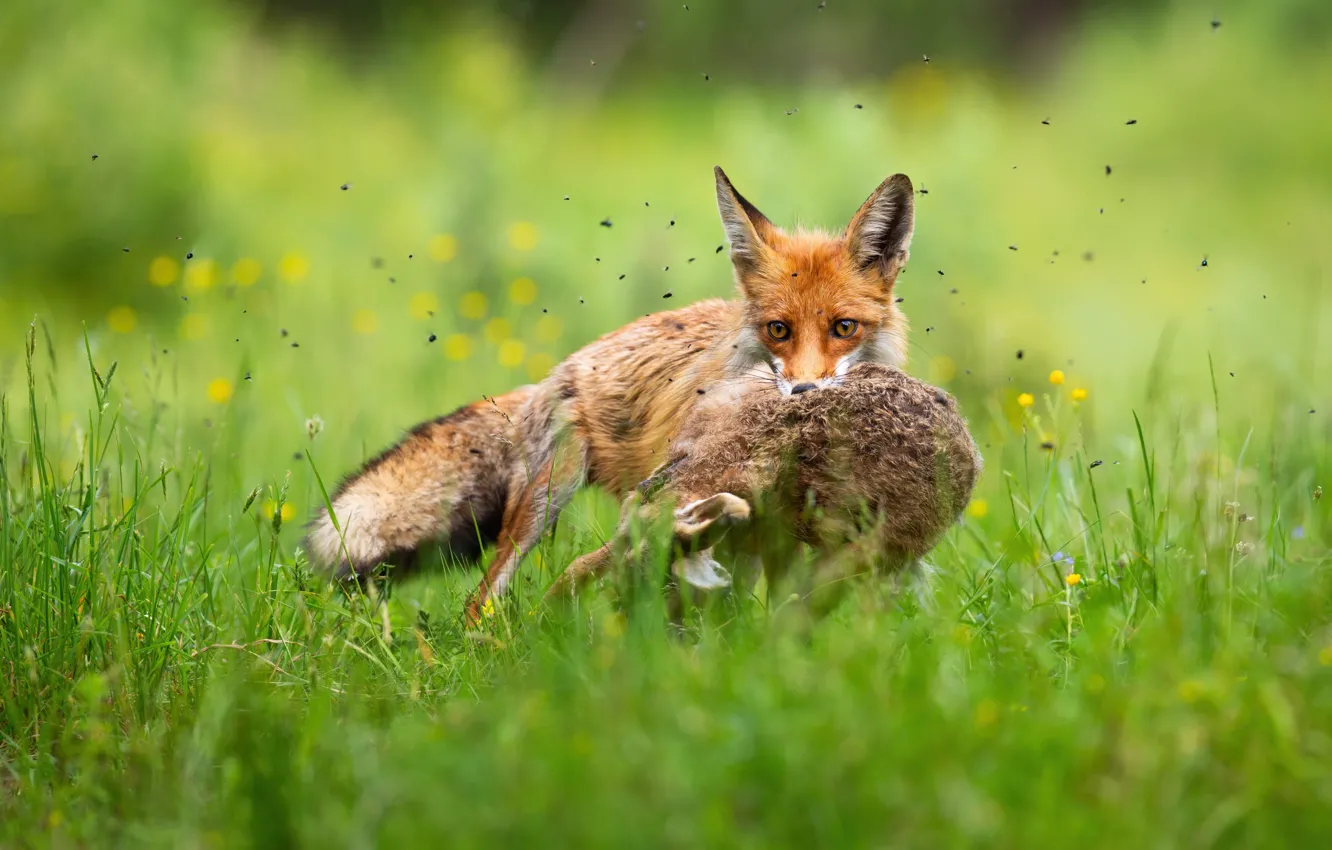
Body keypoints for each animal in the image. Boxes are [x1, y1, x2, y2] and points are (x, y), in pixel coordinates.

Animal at [305, 166, 917, 623]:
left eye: (844, 328)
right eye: (778, 330)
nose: (804, 390)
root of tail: (557, 371)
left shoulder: (772, 522)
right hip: (547, 497)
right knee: (483, 600)